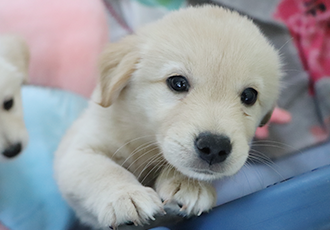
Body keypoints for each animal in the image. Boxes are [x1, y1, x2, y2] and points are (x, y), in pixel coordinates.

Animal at [54, 5, 282, 230]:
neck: (146, 140)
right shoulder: (77, 150)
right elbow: (102, 169)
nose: (214, 147)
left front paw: (189, 184)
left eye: (249, 96)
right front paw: (126, 195)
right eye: (178, 83)